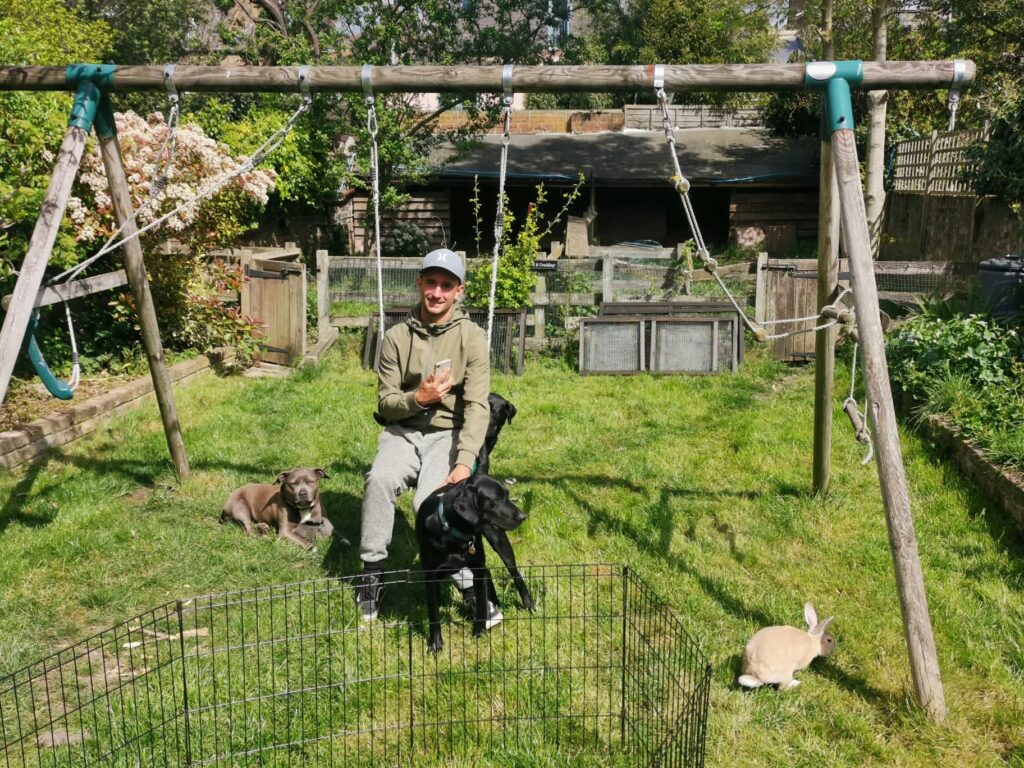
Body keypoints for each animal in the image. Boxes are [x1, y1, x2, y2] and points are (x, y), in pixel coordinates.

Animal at [415, 479, 536, 651]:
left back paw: (528, 605)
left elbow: (480, 605)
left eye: (507, 495)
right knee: (489, 572)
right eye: (496, 500)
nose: (522, 516)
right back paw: (496, 602)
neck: (453, 531)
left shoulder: (478, 571)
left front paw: (479, 633)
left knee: (516, 575)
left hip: (499, 540)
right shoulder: (431, 578)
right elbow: (433, 613)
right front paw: (435, 644)